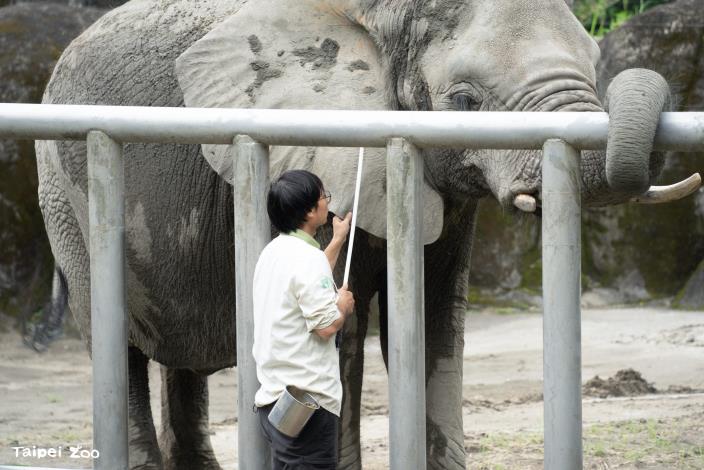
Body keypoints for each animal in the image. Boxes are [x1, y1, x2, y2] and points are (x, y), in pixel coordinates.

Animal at [35, 0, 693, 468]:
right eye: (464, 100)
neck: (378, 16)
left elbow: (435, 324)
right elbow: (341, 334)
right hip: (64, 192)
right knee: (117, 340)